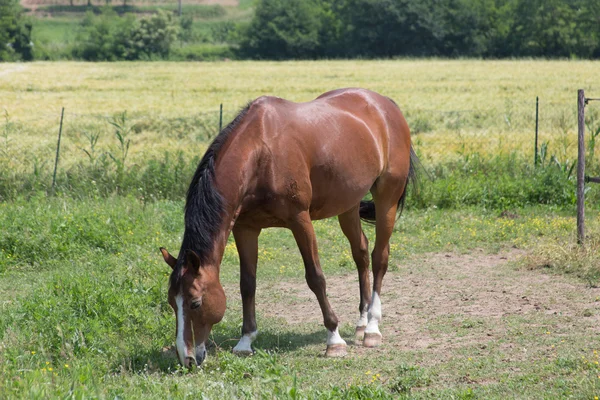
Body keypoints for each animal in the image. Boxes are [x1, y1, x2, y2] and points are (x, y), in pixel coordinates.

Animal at [159, 88, 418, 368]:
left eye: (195, 303)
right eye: (171, 302)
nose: (185, 359)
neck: (261, 153)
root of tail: (385, 104)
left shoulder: (299, 220)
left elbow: (316, 277)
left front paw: (334, 339)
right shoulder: (245, 228)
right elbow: (247, 283)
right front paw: (245, 341)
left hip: (387, 199)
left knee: (379, 257)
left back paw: (372, 328)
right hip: (348, 206)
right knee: (361, 253)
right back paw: (361, 323)